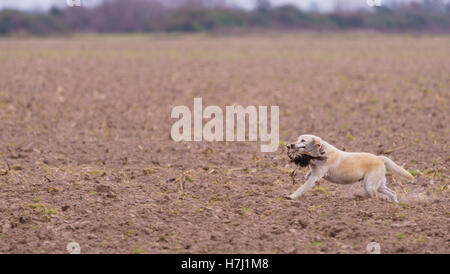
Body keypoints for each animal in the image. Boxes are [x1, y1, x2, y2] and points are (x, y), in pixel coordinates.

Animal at [286, 135, 414, 203]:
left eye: (303, 140)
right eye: (297, 139)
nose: (290, 145)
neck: (321, 151)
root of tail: (380, 158)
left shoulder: (316, 176)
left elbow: (302, 188)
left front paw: (291, 196)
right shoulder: (313, 173)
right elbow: (307, 177)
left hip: (370, 185)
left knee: (374, 197)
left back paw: (366, 201)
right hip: (379, 185)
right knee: (392, 193)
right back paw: (395, 204)